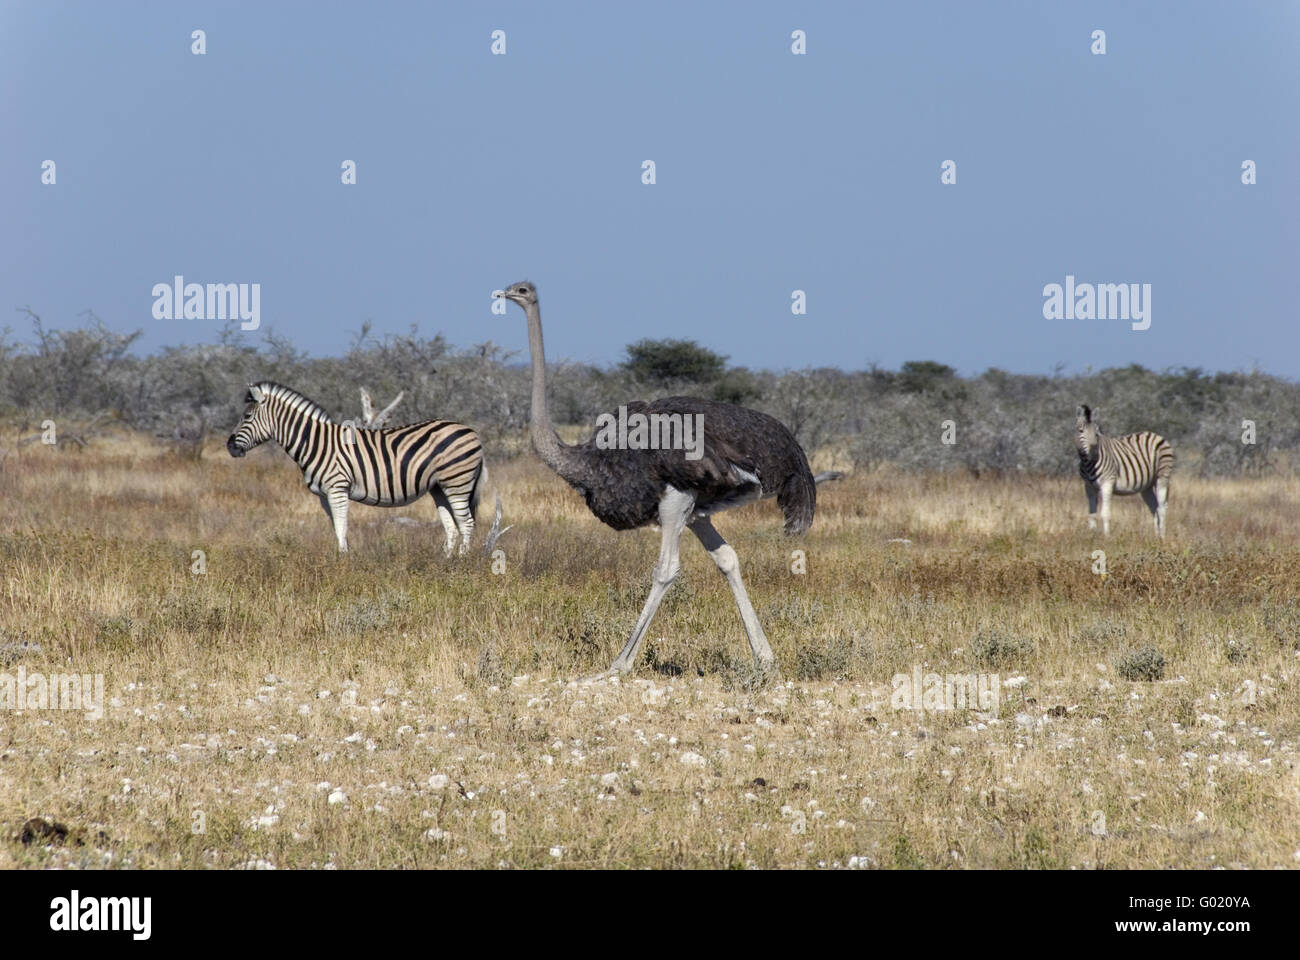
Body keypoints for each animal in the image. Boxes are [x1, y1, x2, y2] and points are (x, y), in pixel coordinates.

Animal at [226, 382, 486, 554]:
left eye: (247, 416)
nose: (229, 447)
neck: (315, 443)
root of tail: (472, 431)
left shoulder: (337, 488)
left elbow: (341, 528)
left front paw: (343, 564)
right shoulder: (324, 495)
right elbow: (337, 529)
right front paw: (343, 558)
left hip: (457, 481)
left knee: (467, 523)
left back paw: (461, 562)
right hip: (439, 487)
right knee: (453, 528)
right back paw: (445, 563)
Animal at [1074, 404, 1173, 537]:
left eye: (1097, 433)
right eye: (1081, 431)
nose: (1094, 454)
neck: (1088, 463)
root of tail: (1156, 435)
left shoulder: (1108, 482)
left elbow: (1105, 514)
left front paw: (1107, 537)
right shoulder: (1088, 486)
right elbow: (1092, 515)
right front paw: (1092, 535)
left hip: (1162, 476)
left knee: (1162, 508)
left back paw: (1162, 537)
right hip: (1147, 485)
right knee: (1154, 507)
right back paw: (1155, 537)